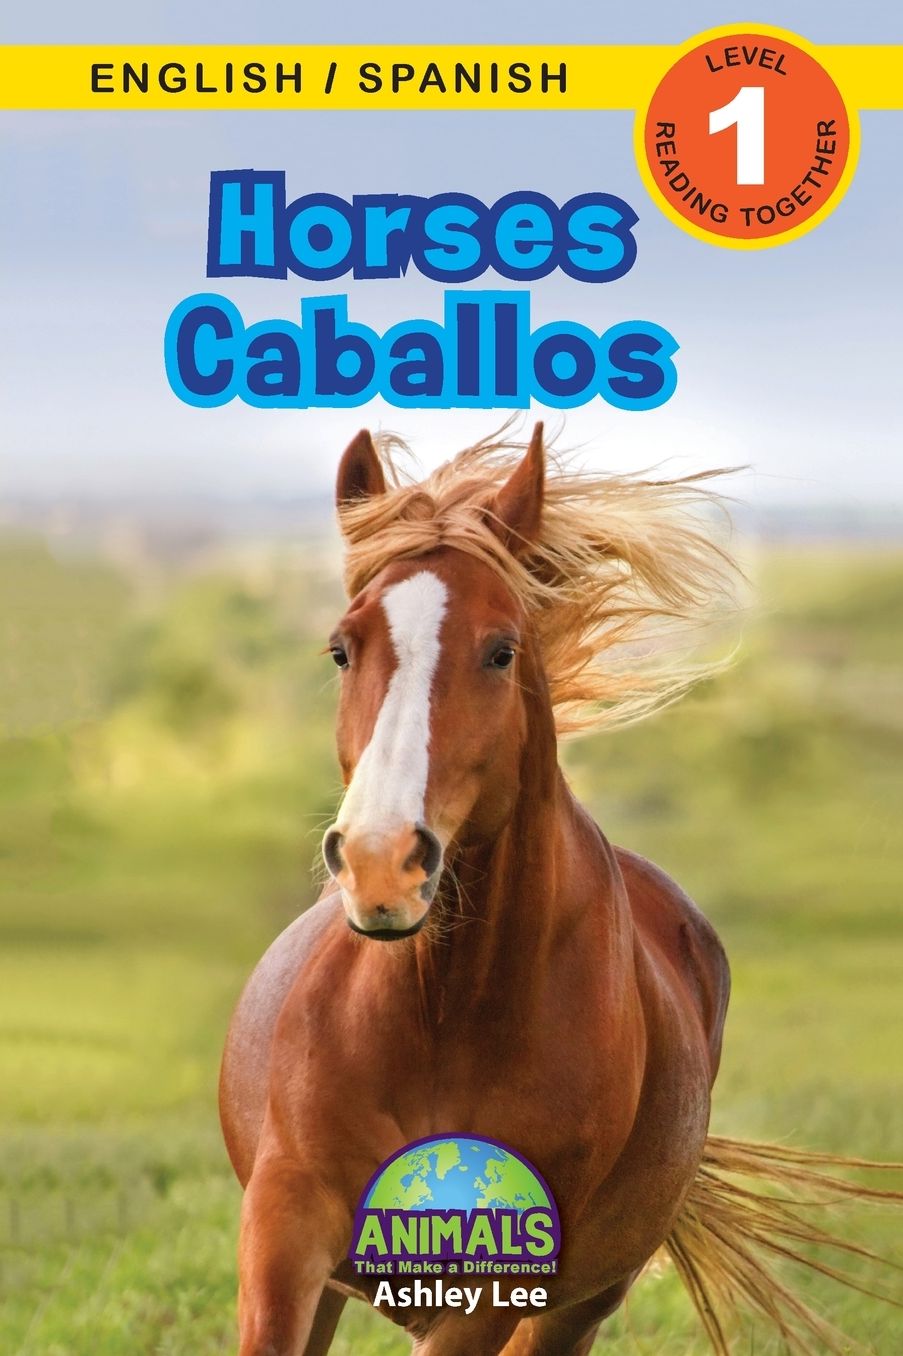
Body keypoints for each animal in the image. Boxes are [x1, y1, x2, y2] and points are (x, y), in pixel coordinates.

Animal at [220, 425, 899, 1356]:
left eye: (501, 650)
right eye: (341, 648)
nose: (380, 863)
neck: (438, 1019)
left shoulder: (490, 1289)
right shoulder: (286, 1233)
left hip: (577, 1304)